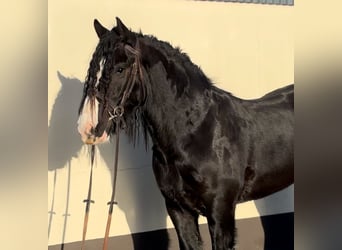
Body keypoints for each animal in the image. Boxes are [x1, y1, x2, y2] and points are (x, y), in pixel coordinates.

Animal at [77, 18, 294, 250]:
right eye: (93, 71)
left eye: (119, 69)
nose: (86, 126)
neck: (198, 132)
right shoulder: (178, 209)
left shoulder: (221, 213)